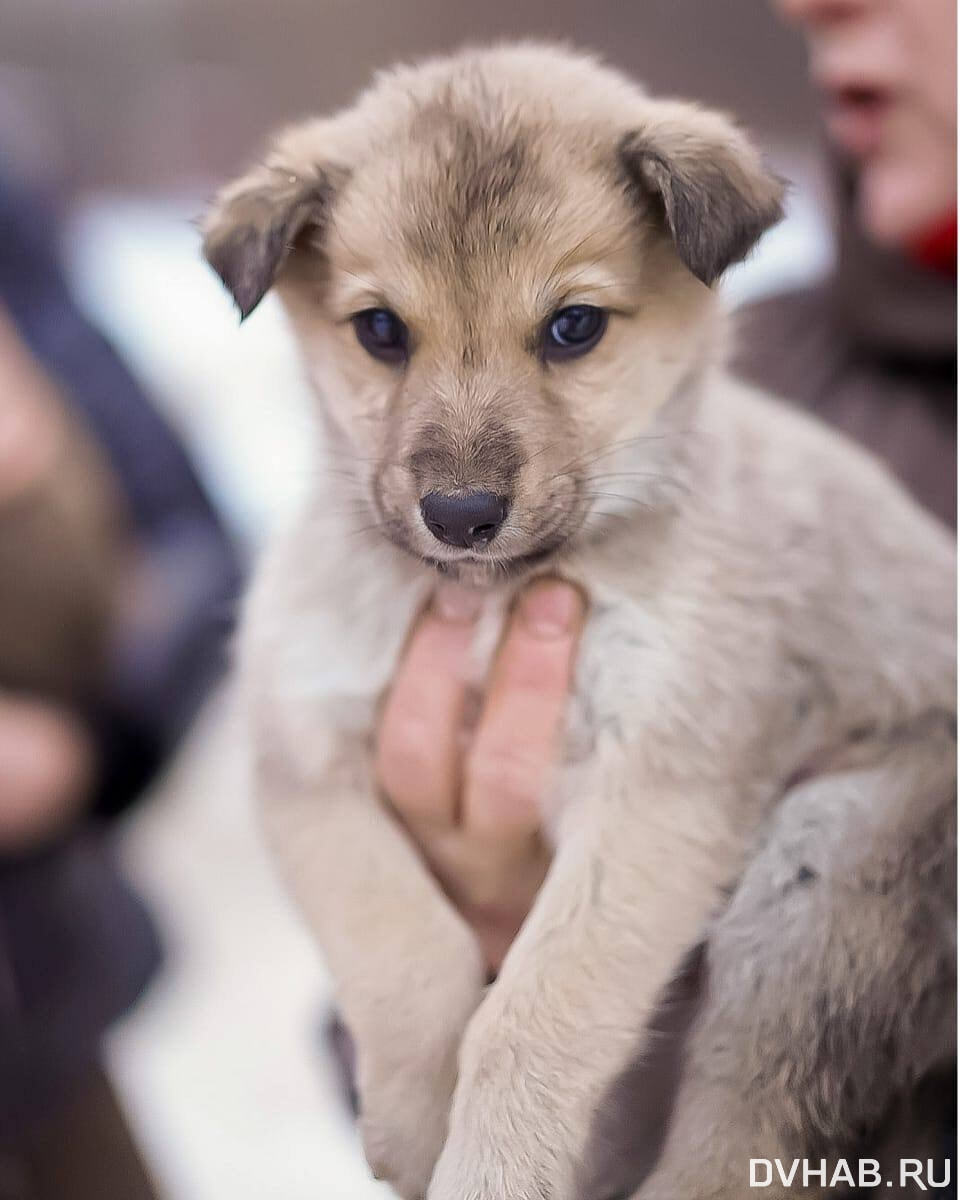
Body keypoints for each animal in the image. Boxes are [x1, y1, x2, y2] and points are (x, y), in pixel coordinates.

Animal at [200, 42, 950, 1200]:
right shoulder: (307, 769)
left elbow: (537, 1011)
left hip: (827, 870)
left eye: (574, 327)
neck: (492, 600)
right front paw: (415, 1129)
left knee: (743, 1133)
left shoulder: (658, 789)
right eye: (380, 330)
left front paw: (489, 1167)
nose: (462, 516)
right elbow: (404, 954)